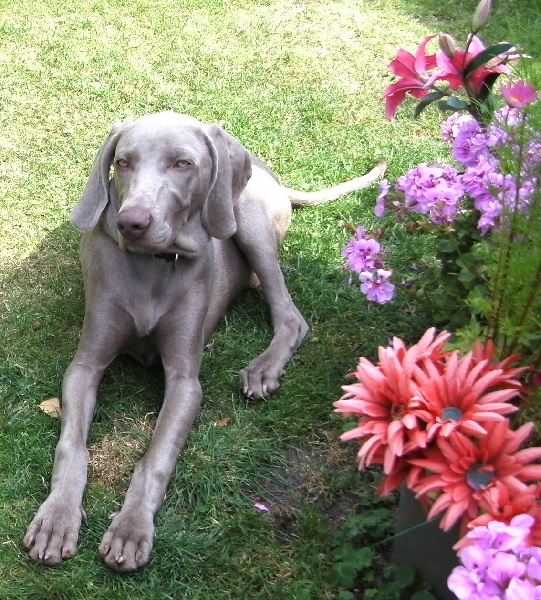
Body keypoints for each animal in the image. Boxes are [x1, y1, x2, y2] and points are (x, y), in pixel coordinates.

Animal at [24, 112, 384, 572]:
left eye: (183, 164)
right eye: (122, 162)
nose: (131, 223)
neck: (154, 268)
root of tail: (268, 172)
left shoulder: (185, 383)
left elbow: (156, 457)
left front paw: (131, 529)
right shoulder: (85, 365)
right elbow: (71, 446)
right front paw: (57, 518)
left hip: (247, 218)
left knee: (291, 316)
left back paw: (263, 367)